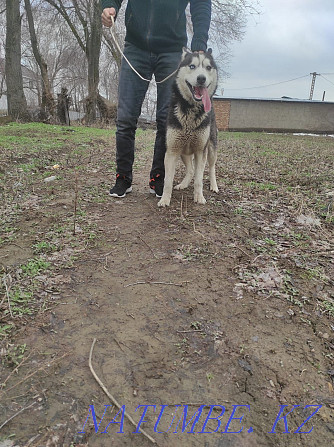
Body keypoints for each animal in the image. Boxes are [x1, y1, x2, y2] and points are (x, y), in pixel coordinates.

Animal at [157, 47, 218, 208]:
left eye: (208, 67)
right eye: (192, 66)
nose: (201, 78)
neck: (190, 109)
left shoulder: (200, 151)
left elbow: (199, 179)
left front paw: (199, 197)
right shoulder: (172, 151)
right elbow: (167, 181)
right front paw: (164, 199)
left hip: (211, 149)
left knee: (211, 167)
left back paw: (214, 186)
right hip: (183, 151)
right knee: (190, 170)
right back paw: (183, 184)